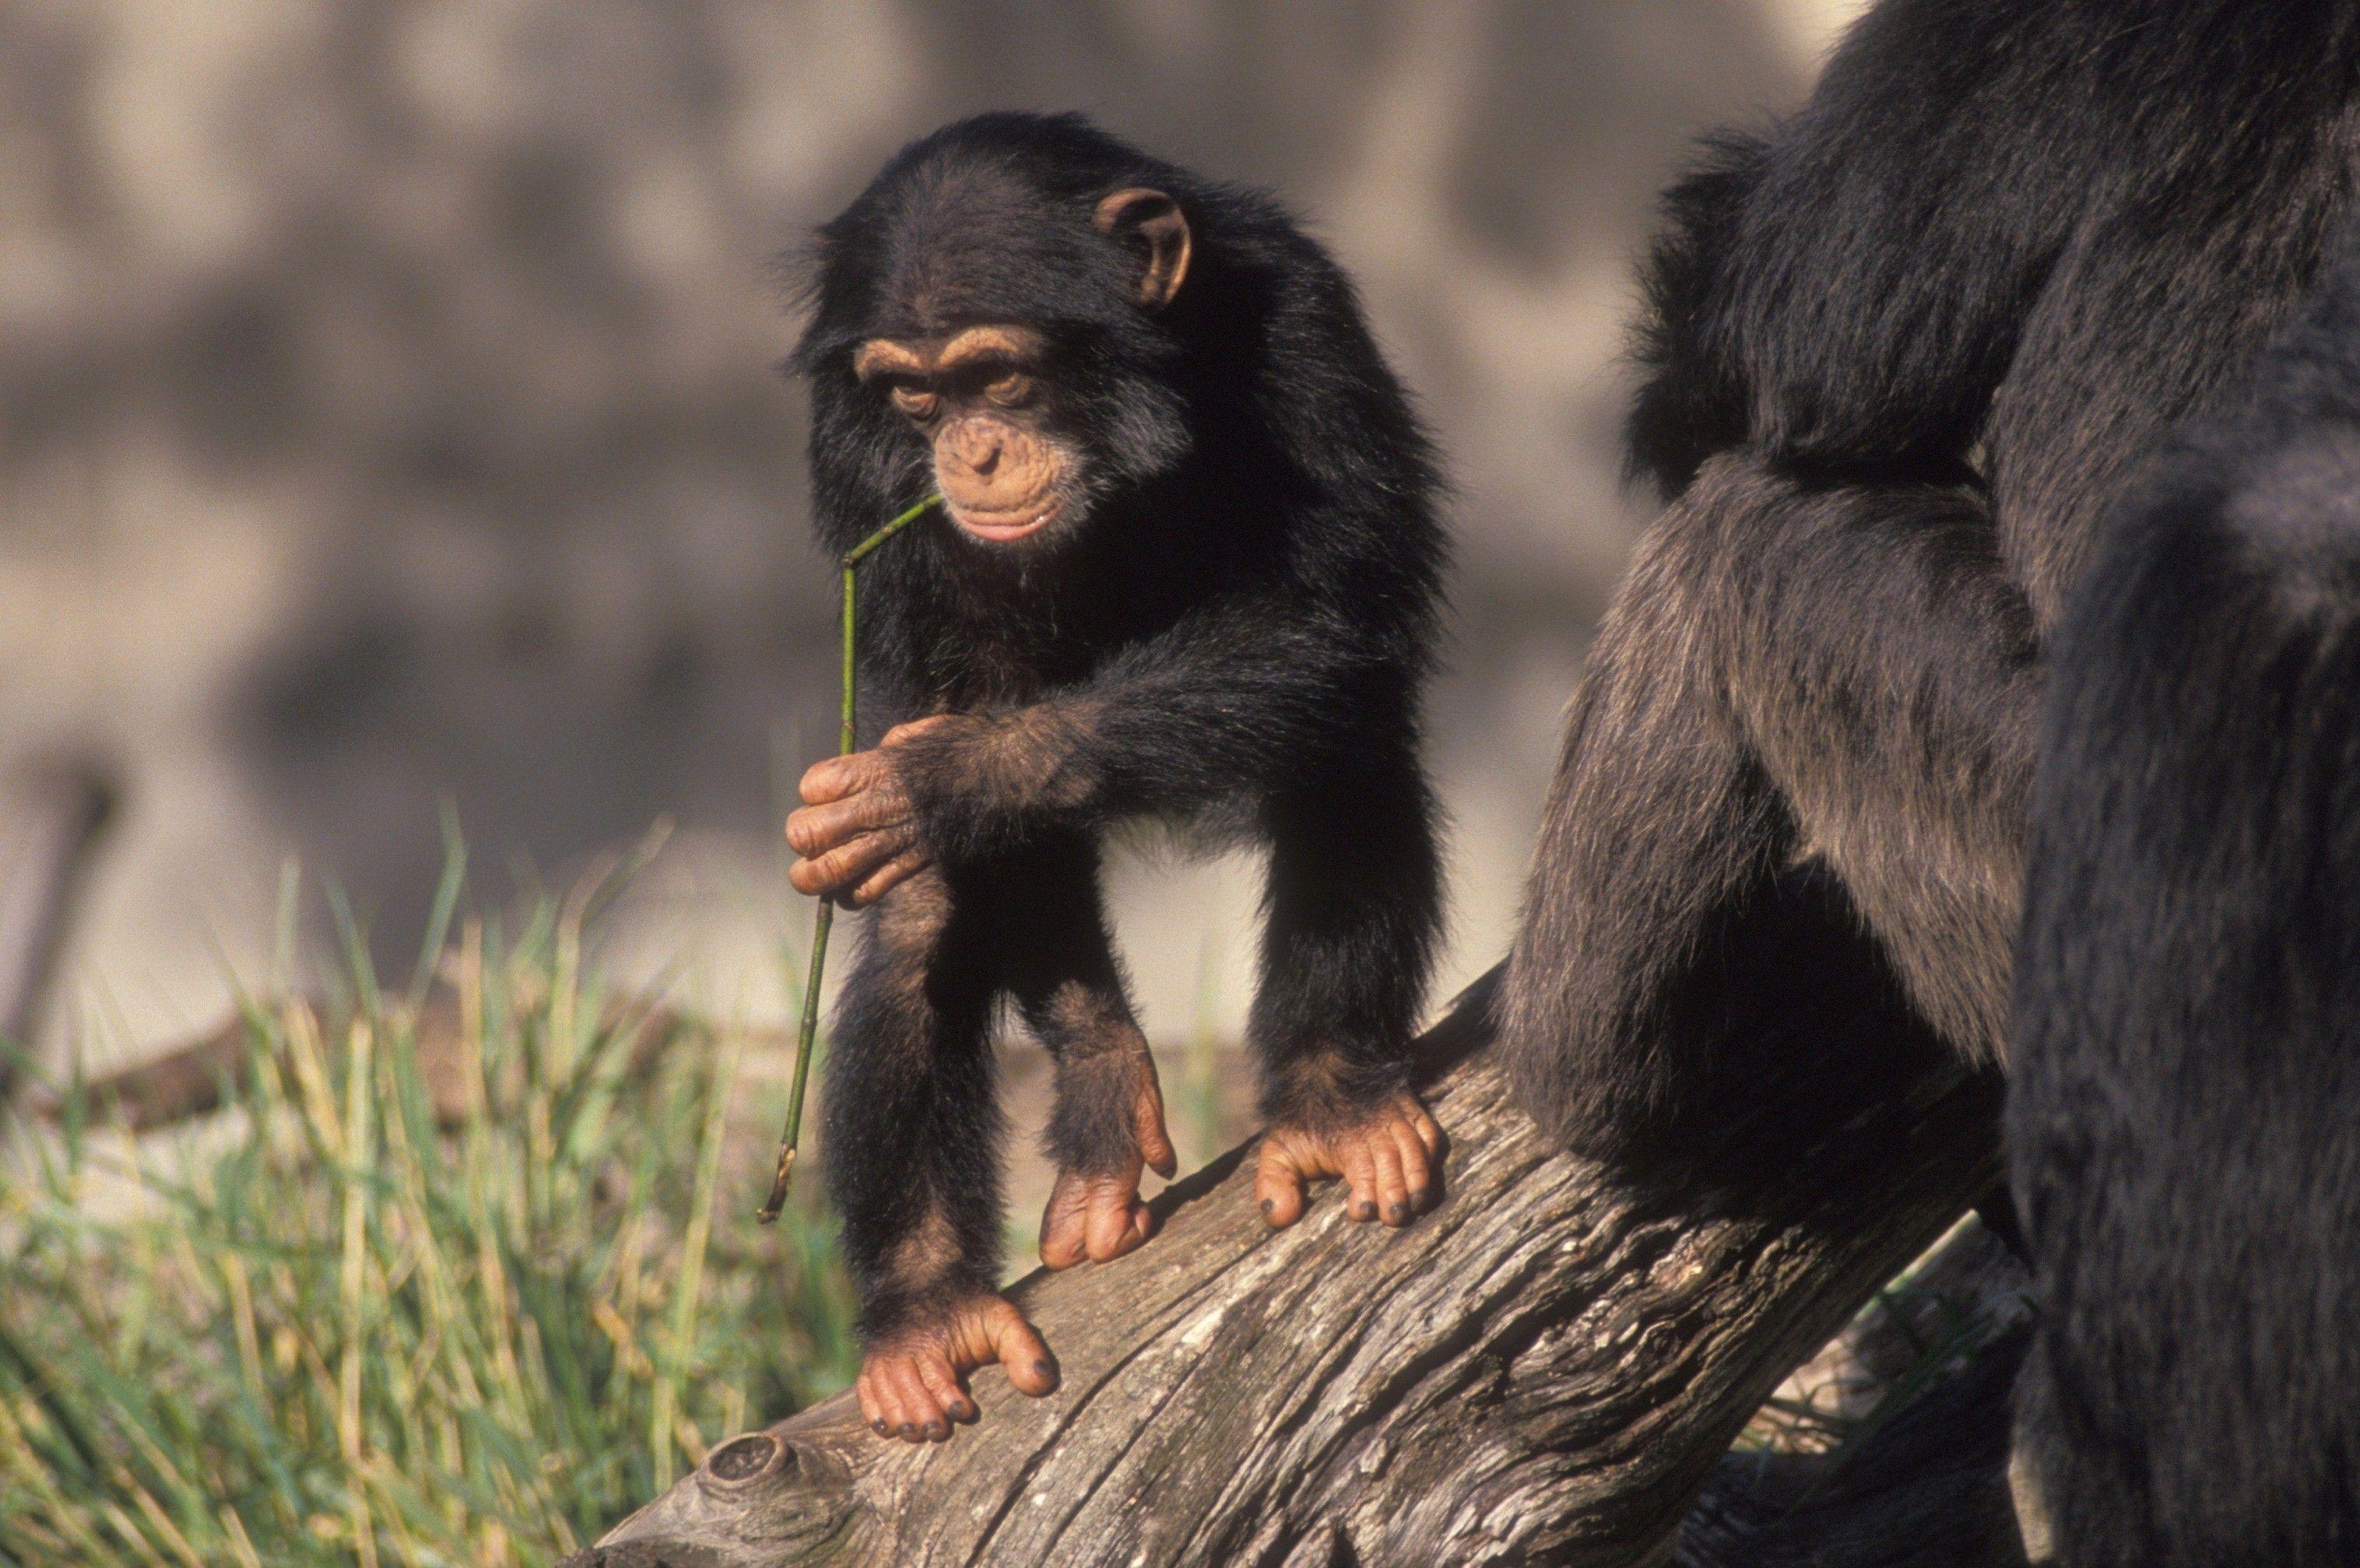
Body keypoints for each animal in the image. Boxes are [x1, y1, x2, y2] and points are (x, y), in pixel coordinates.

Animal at [783, 113, 1444, 1443]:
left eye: (999, 376)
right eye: (914, 394)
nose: (973, 447)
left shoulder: (1307, 324)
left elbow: (1333, 612)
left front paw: (929, 782)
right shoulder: (860, 461)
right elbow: (980, 762)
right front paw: (1097, 1083)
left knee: (1348, 738)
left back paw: (1335, 1096)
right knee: (924, 915)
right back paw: (928, 1308)